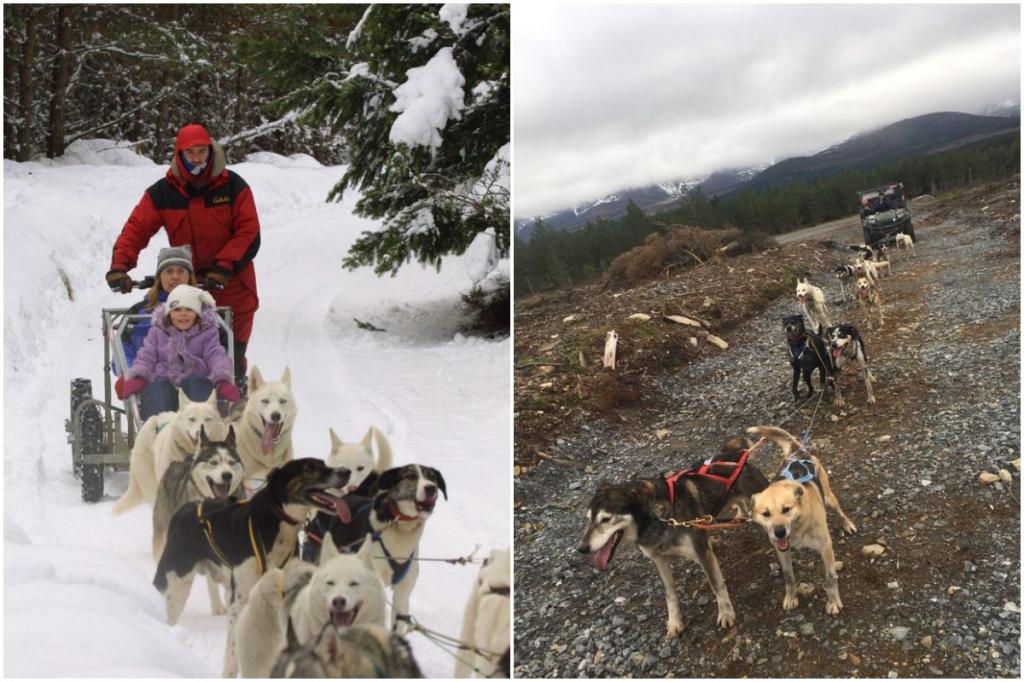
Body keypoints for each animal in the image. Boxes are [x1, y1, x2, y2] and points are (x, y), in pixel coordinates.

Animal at [151, 454, 352, 622]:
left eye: (324, 463)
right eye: (309, 468)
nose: (346, 471)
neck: (276, 524)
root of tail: (184, 511)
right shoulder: (240, 601)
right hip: (178, 586)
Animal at [745, 421, 856, 614]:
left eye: (786, 509)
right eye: (766, 514)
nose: (779, 532)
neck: (797, 528)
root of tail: (798, 452)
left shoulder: (825, 548)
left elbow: (830, 578)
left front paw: (833, 601)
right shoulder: (782, 551)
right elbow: (788, 577)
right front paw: (791, 597)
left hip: (829, 498)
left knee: (839, 511)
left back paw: (847, 524)